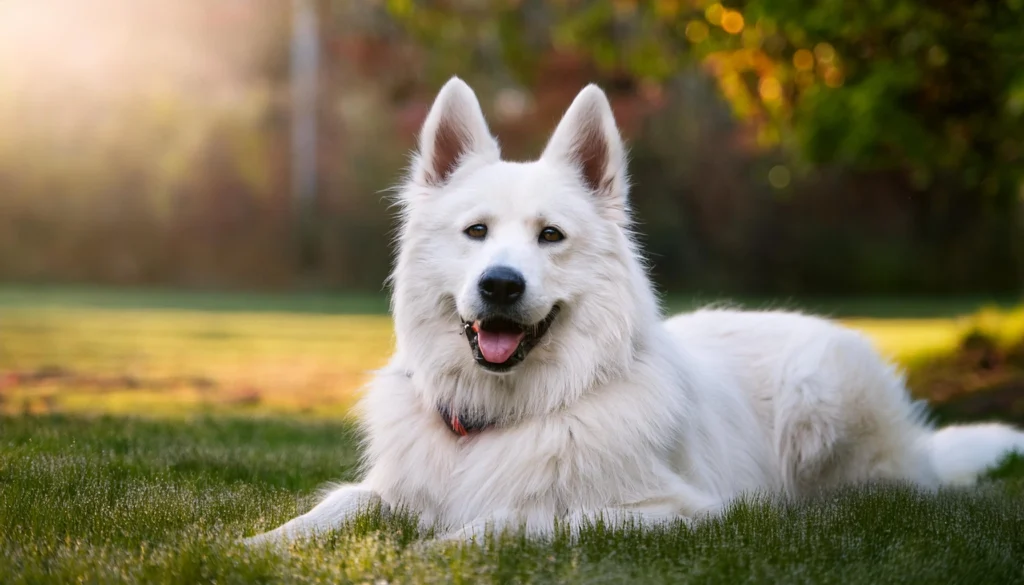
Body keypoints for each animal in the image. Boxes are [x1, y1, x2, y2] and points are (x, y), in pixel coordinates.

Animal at [245, 76, 1024, 545]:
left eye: (550, 236)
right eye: (476, 232)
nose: (499, 285)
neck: (506, 415)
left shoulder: (668, 513)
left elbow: (510, 520)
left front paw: (432, 551)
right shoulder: (390, 489)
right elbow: (340, 505)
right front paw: (259, 544)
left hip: (820, 392)